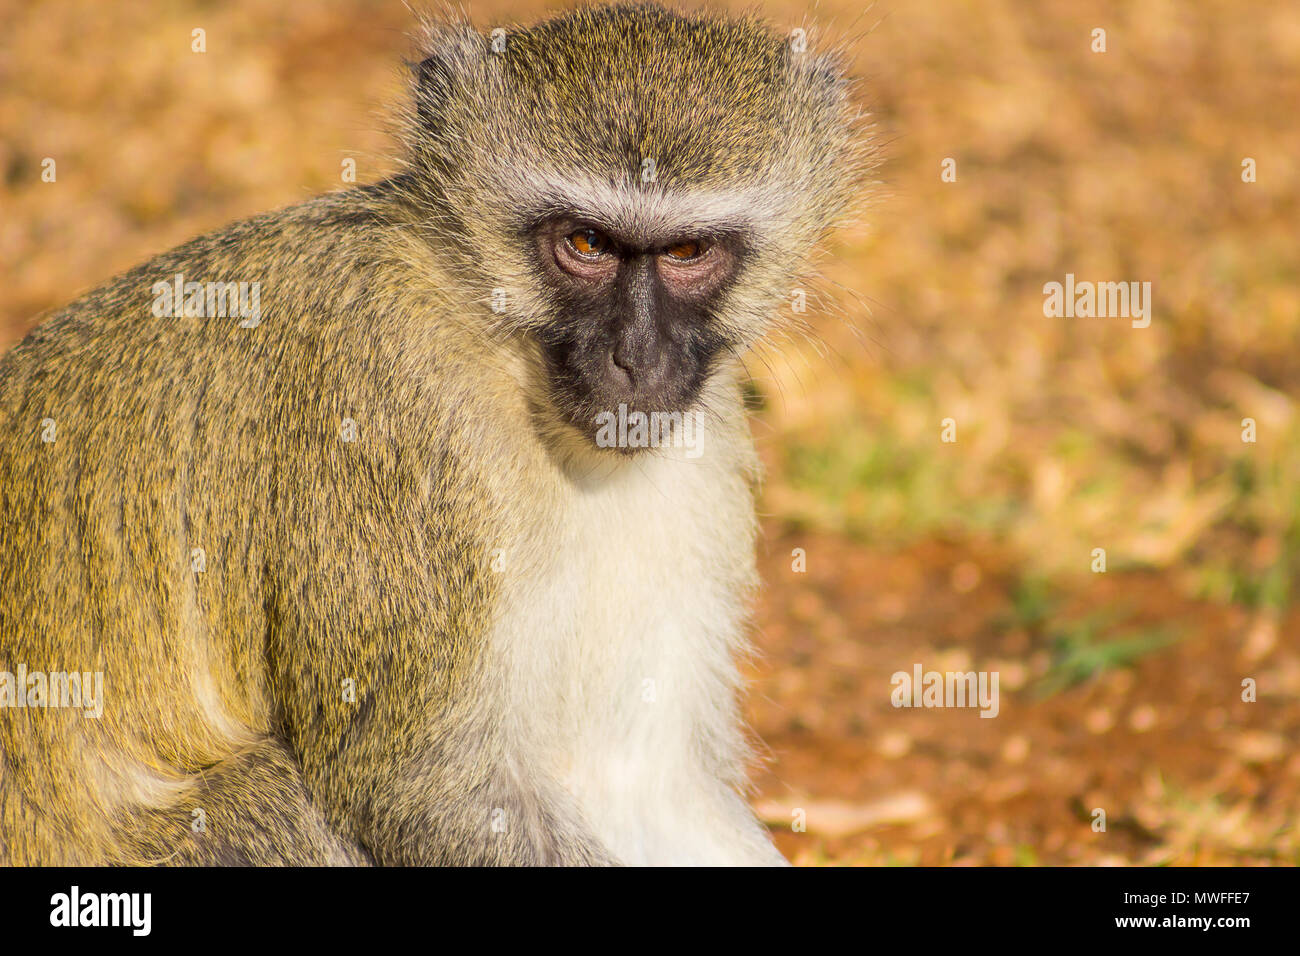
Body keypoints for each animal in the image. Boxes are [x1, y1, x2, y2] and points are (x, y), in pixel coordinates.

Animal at [5, 0, 868, 868]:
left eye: (688, 250)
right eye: (585, 244)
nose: (637, 357)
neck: (499, 345)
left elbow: (645, 784)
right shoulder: (393, 405)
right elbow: (425, 784)